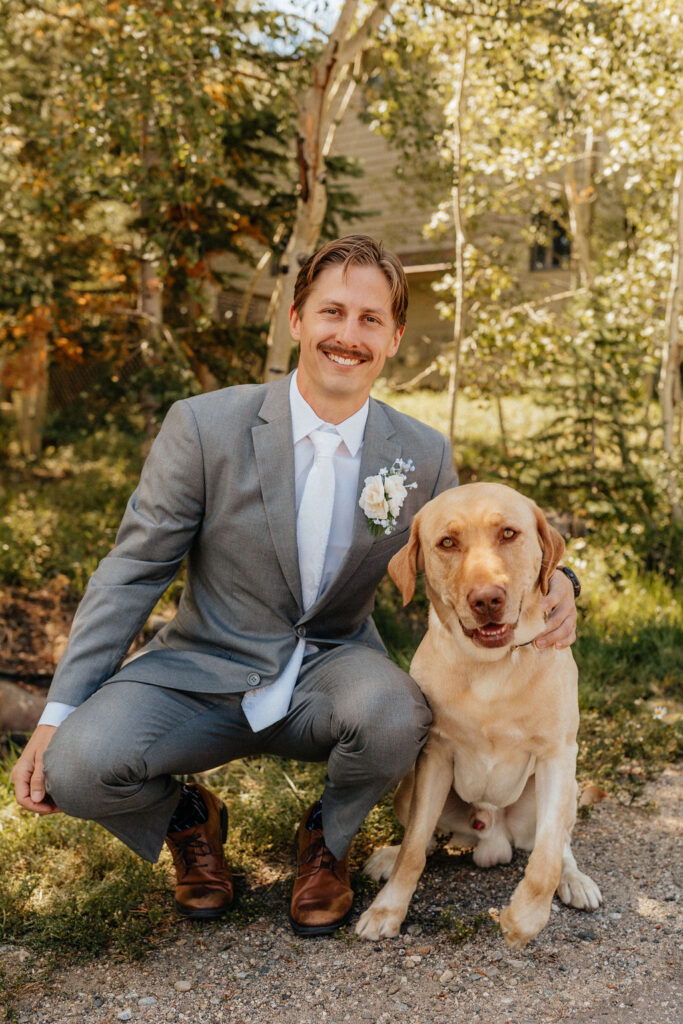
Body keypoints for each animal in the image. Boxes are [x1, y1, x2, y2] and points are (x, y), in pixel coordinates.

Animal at [356, 483, 602, 946]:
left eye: (508, 533)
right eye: (447, 543)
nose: (487, 599)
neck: (492, 668)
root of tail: (494, 838)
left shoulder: (558, 755)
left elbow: (545, 860)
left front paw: (524, 919)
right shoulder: (435, 755)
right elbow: (414, 849)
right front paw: (388, 909)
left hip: (564, 789)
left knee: (559, 843)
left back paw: (574, 880)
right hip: (406, 788)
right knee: (424, 837)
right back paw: (389, 857)